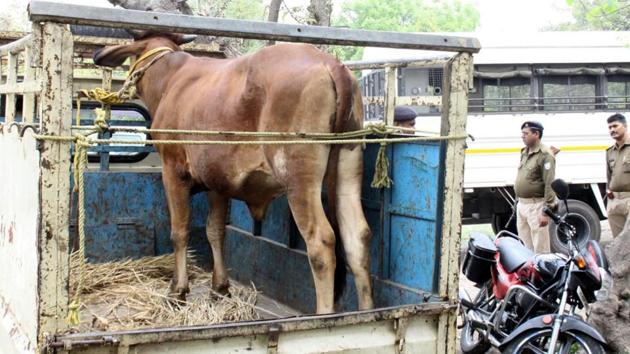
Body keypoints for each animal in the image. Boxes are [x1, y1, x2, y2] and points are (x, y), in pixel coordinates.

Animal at [94, 30, 376, 312]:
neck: (171, 78)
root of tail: (330, 63)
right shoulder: (217, 182)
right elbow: (215, 231)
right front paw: (219, 287)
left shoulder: (173, 171)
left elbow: (180, 231)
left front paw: (178, 290)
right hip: (348, 169)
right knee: (357, 238)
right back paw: (366, 313)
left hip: (298, 177)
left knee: (321, 241)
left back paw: (323, 316)